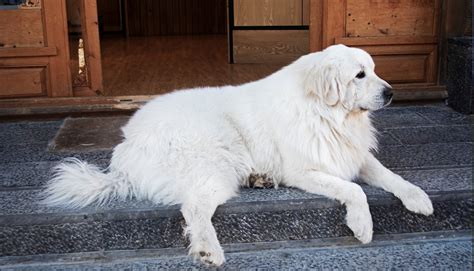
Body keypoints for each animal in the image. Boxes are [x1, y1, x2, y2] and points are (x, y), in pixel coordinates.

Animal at [43, 45, 434, 268]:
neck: (326, 113)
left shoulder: (354, 156)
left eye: (375, 70)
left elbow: (392, 177)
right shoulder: (304, 170)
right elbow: (356, 191)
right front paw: (362, 224)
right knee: (194, 208)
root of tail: (124, 155)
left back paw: (259, 179)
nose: (392, 93)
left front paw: (419, 199)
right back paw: (208, 250)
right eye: (359, 75)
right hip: (217, 165)